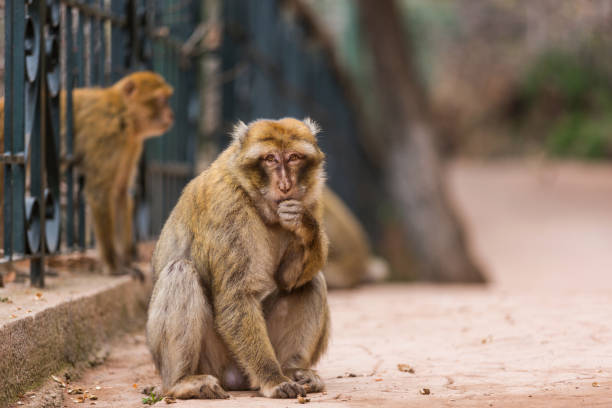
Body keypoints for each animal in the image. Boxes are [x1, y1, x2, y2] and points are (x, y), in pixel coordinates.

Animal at [0, 71, 175, 278]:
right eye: (161, 99)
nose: (171, 114)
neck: (124, 114)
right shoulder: (108, 134)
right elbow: (100, 192)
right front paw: (113, 266)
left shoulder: (131, 145)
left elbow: (119, 193)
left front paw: (127, 261)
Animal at [147, 117, 330, 398]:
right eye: (270, 159)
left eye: (294, 157)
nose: (285, 185)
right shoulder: (228, 206)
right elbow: (237, 296)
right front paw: (272, 379)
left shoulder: (312, 198)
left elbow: (287, 279)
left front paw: (304, 224)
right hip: (215, 359)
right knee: (180, 271)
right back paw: (182, 381)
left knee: (311, 282)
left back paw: (293, 370)